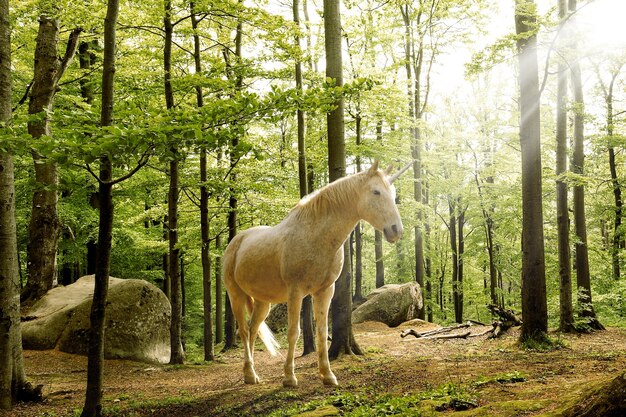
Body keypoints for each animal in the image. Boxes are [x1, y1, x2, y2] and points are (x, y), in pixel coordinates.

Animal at [222, 160, 408, 386]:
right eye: (376, 192)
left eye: (393, 192)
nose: (396, 230)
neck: (316, 236)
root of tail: (236, 241)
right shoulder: (295, 292)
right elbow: (294, 332)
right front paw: (289, 377)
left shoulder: (324, 291)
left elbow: (322, 331)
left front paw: (327, 375)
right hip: (236, 296)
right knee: (242, 330)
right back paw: (249, 374)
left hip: (262, 302)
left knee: (252, 330)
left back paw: (253, 374)